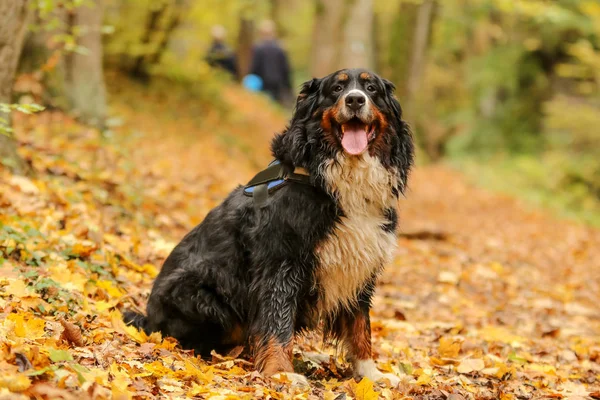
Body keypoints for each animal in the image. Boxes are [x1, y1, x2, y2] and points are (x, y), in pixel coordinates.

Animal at [124, 69, 414, 388]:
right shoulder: (282, 263)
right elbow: (277, 321)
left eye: (371, 88)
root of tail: (148, 318)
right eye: (337, 88)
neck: (332, 181)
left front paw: (369, 374)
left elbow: (361, 327)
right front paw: (280, 371)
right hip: (201, 296)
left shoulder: (360, 266)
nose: (354, 99)